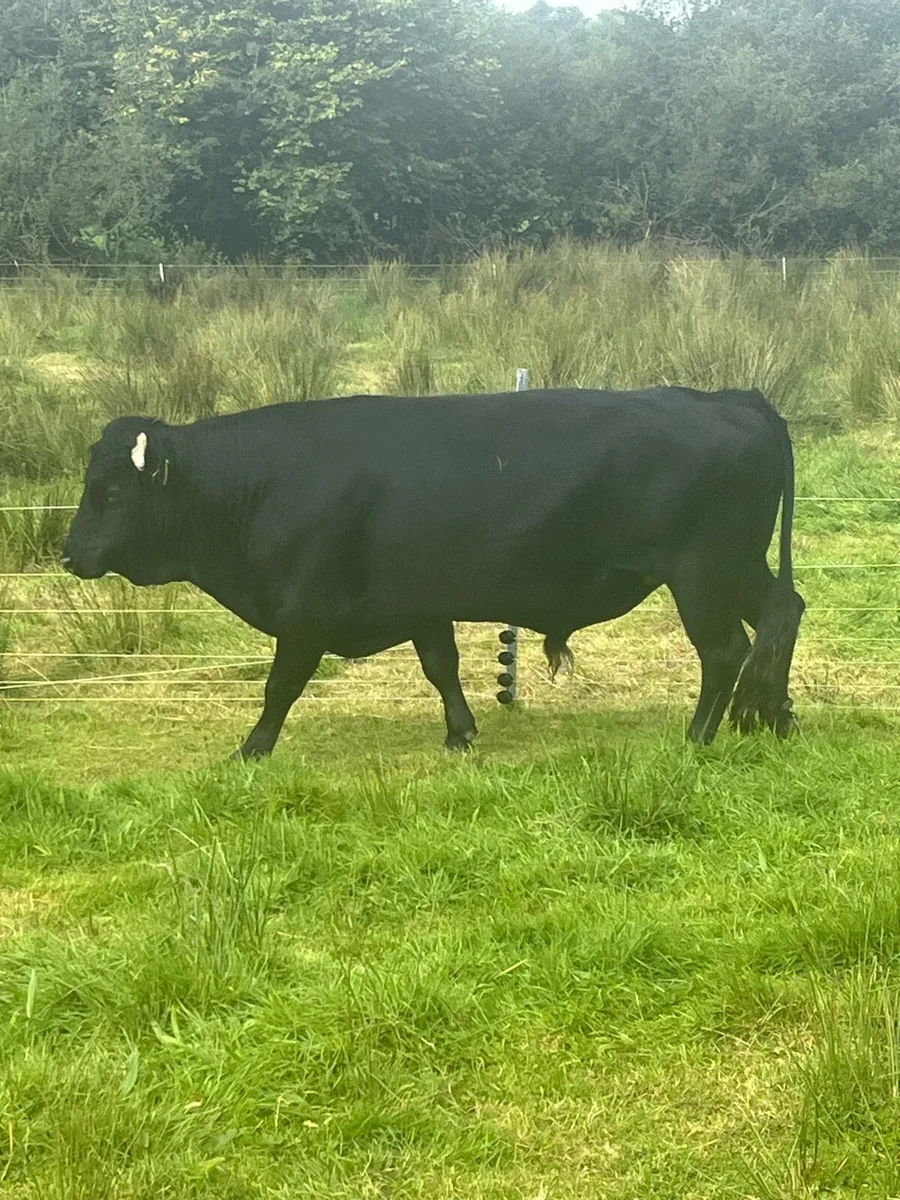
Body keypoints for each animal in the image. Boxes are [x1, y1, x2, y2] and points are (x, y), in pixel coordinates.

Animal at [62, 387, 805, 759]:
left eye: (114, 493)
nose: (70, 554)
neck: (266, 481)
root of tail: (729, 397)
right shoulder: (420, 603)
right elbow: (441, 667)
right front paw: (460, 733)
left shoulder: (305, 614)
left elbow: (280, 688)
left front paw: (252, 748)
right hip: (740, 567)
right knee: (782, 616)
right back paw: (778, 716)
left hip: (704, 572)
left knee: (727, 649)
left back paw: (700, 736)